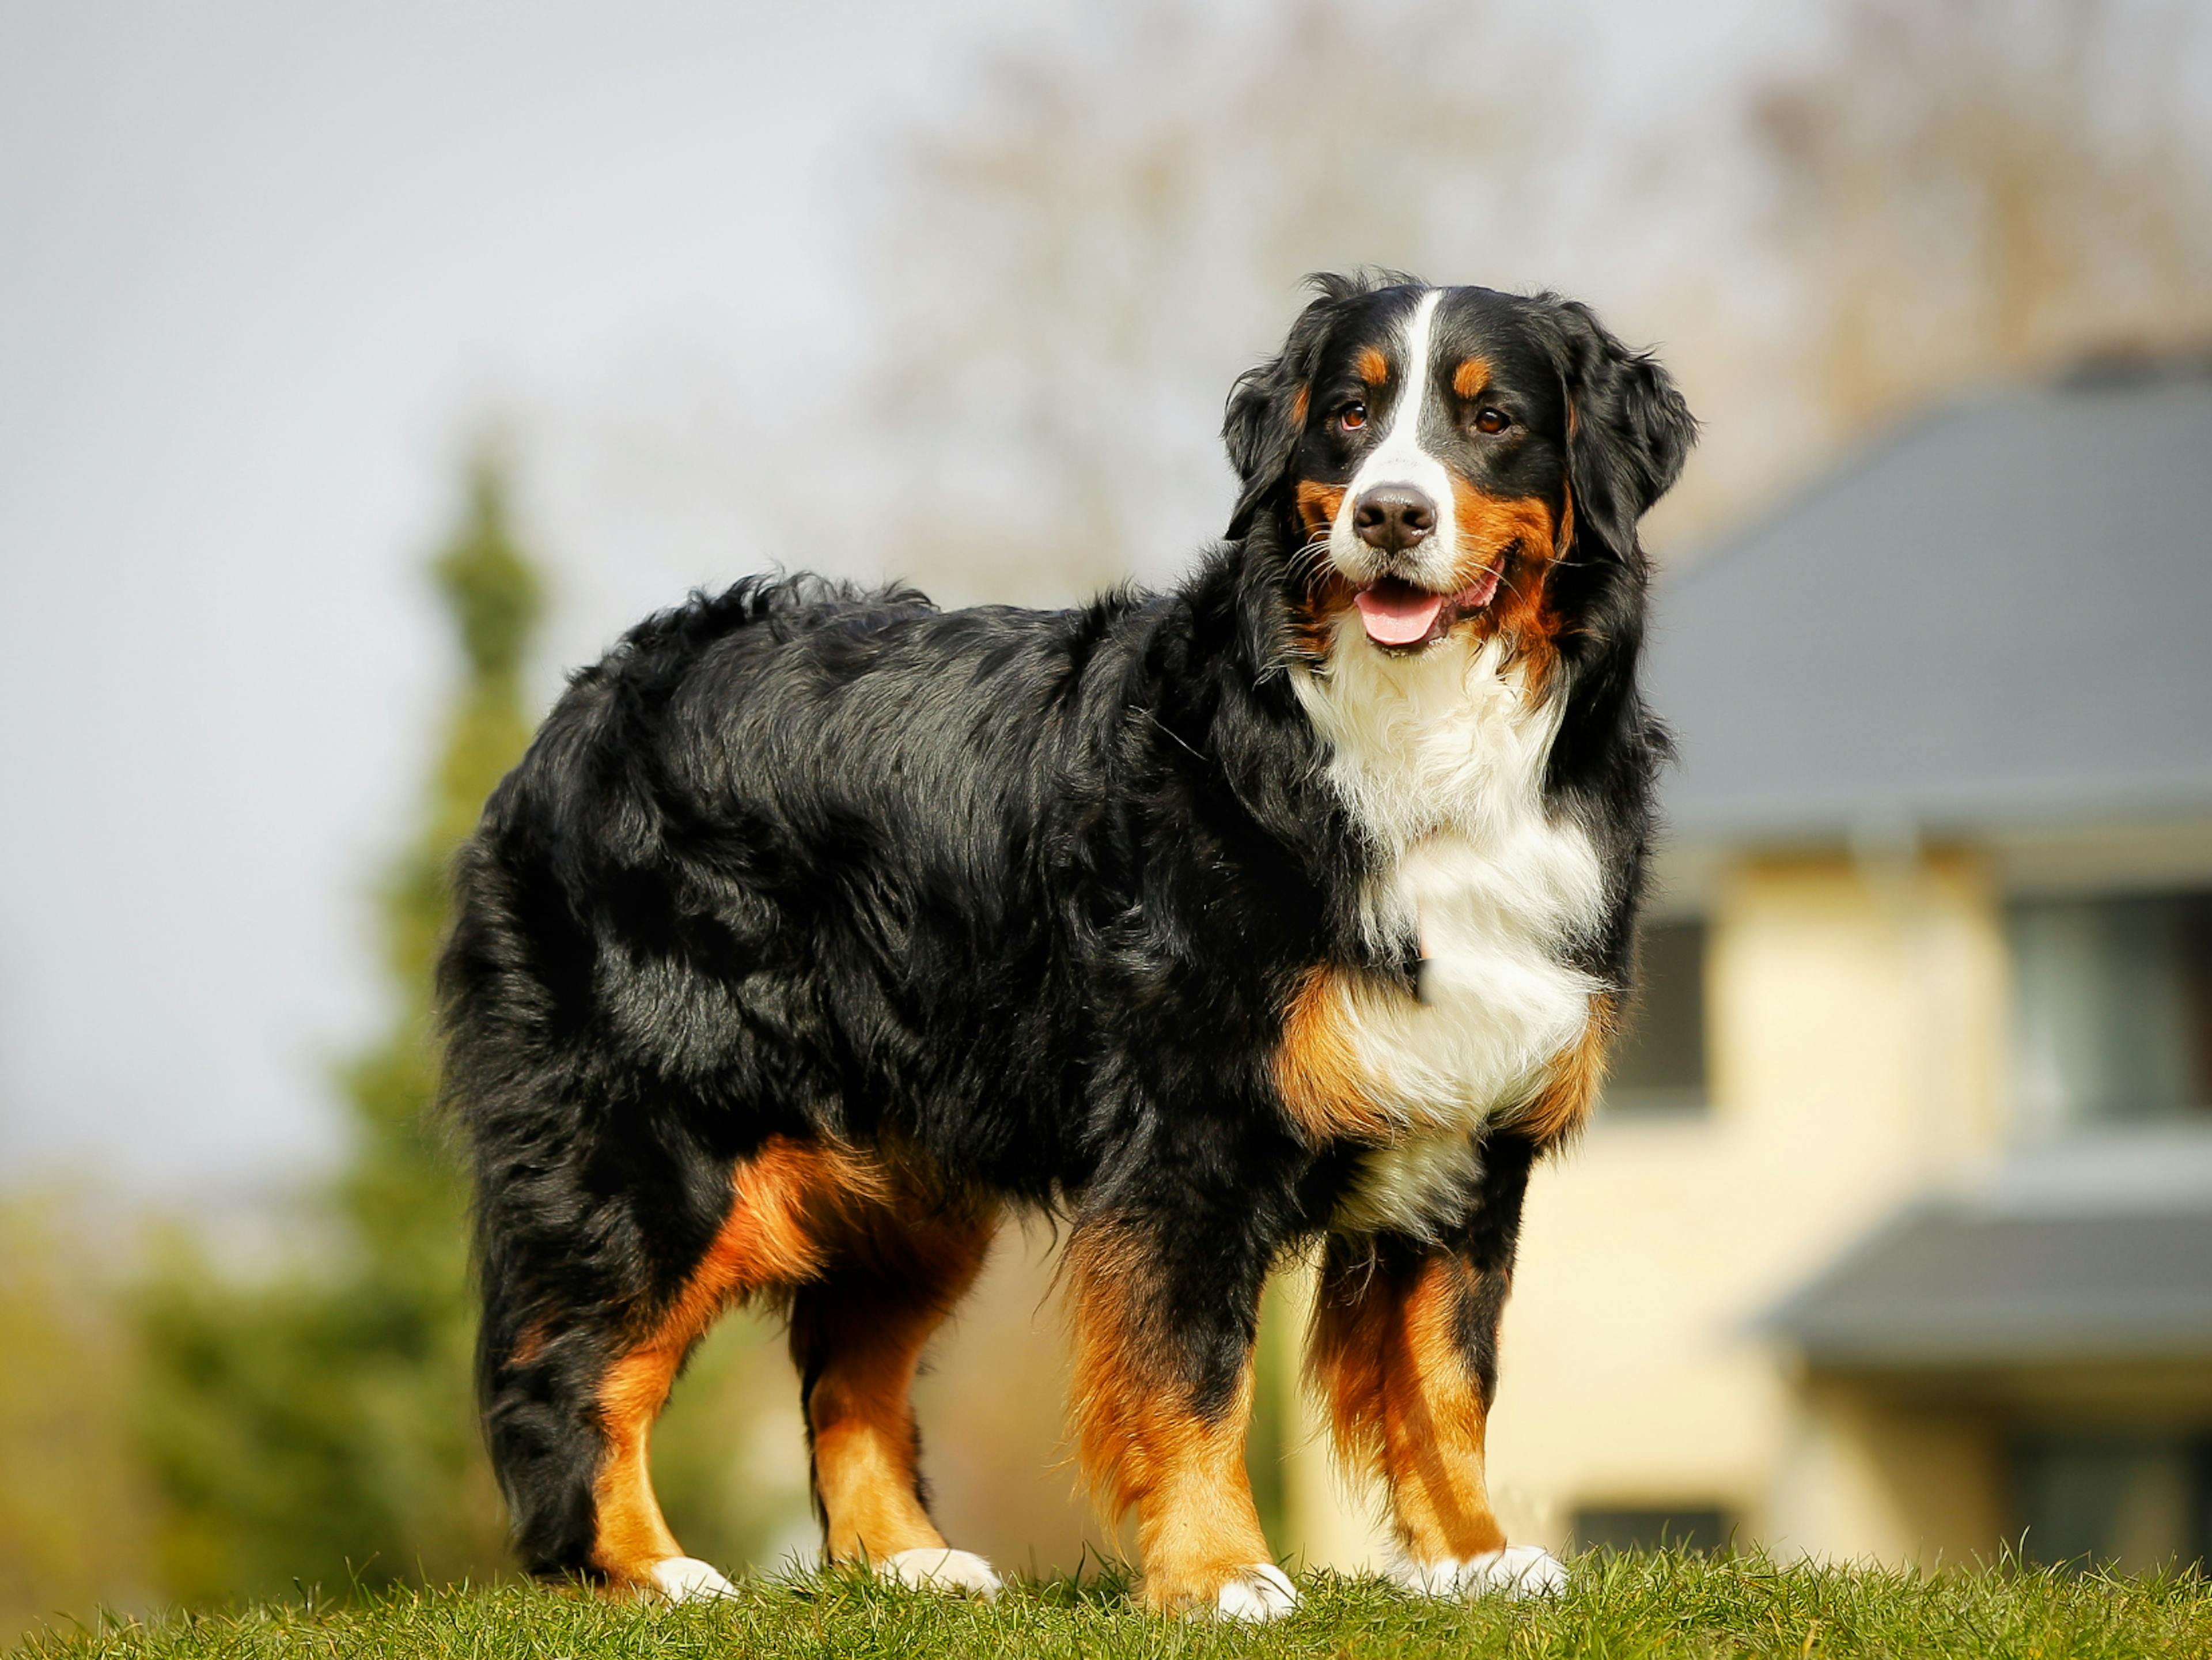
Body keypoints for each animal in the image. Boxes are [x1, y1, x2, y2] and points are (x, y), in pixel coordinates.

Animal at [435, 277, 1690, 1629]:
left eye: (1494, 418)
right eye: (1350, 416)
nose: (1391, 514)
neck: (1413, 744)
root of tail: (589, 701)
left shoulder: (1472, 1126)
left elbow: (1451, 1374)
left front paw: (1473, 1559)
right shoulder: (1191, 1132)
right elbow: (1196, 1371)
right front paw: (1220, 1573)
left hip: (911, 1174)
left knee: (847, 1370)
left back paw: (909, 1562)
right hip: (661, 1140)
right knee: (573, 1368)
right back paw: (647, 1570)